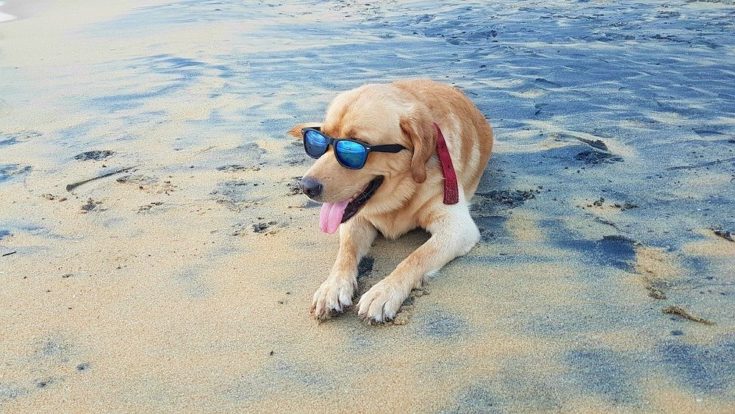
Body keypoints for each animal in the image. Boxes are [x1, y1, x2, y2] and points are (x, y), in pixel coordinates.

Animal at [288, 77, 494, 324]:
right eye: (319, 140)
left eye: (353, 147)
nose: (306, 187)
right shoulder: (357, 218)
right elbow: (346, 252)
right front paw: (332, 287)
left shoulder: (457, 226)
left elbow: (415, 258)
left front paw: (384, 292)